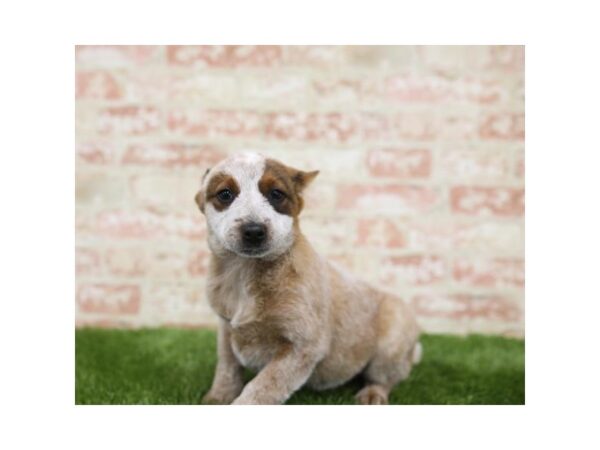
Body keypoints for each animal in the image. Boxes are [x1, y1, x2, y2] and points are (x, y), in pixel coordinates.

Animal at [195, 153, 420, 406]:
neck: (244, 271)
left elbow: (263, 387)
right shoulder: (225, 326)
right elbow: (227, 367)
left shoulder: (303, 346)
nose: (253, 230)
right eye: (225, 194)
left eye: (276, 194)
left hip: (392, 341)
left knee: (384, 378)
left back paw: (373, 394)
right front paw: (218, 397)